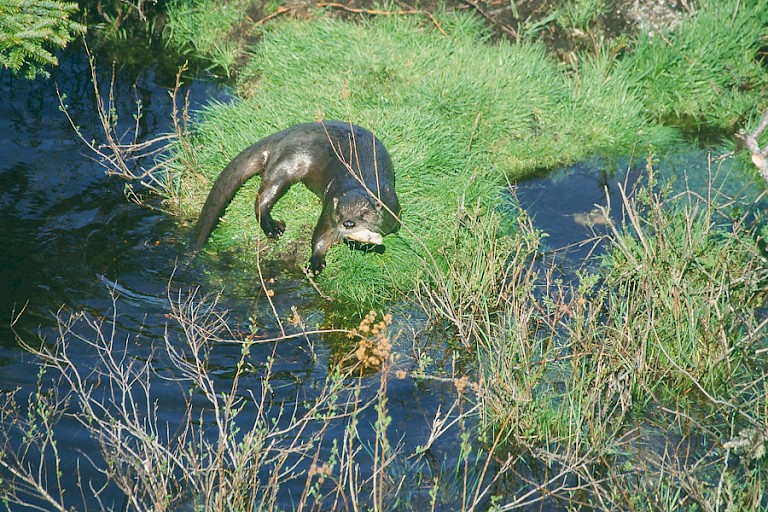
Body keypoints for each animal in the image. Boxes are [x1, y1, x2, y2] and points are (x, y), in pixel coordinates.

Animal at [191, 121, 401, 274]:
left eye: (364, 213)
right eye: (339, 213)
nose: (348, 223)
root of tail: (284, 134)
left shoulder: (394, 212)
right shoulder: (328, 212)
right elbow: (320, 235)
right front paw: (316, 262)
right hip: (287, 163)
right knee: (262, 198)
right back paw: (273, 228)